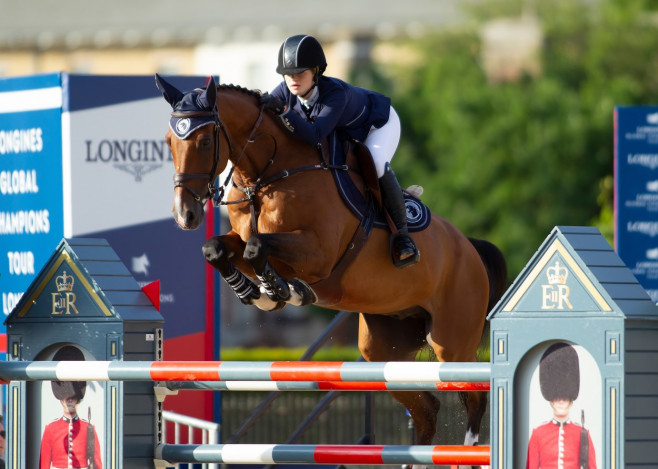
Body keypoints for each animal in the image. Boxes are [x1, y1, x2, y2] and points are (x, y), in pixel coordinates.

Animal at [155, 74, 508, 460]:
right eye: (169, 141)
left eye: (205, 140)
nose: (185, 215)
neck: (269, 175)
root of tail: (469, 247)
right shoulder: (244, 237)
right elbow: (218, 248)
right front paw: (257, 292)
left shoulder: (317, 253)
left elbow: (257, 248)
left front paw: (281, 291)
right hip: (385, 350)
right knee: (426, 409)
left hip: (452, 343)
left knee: (474, 397)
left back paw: (470, 450)